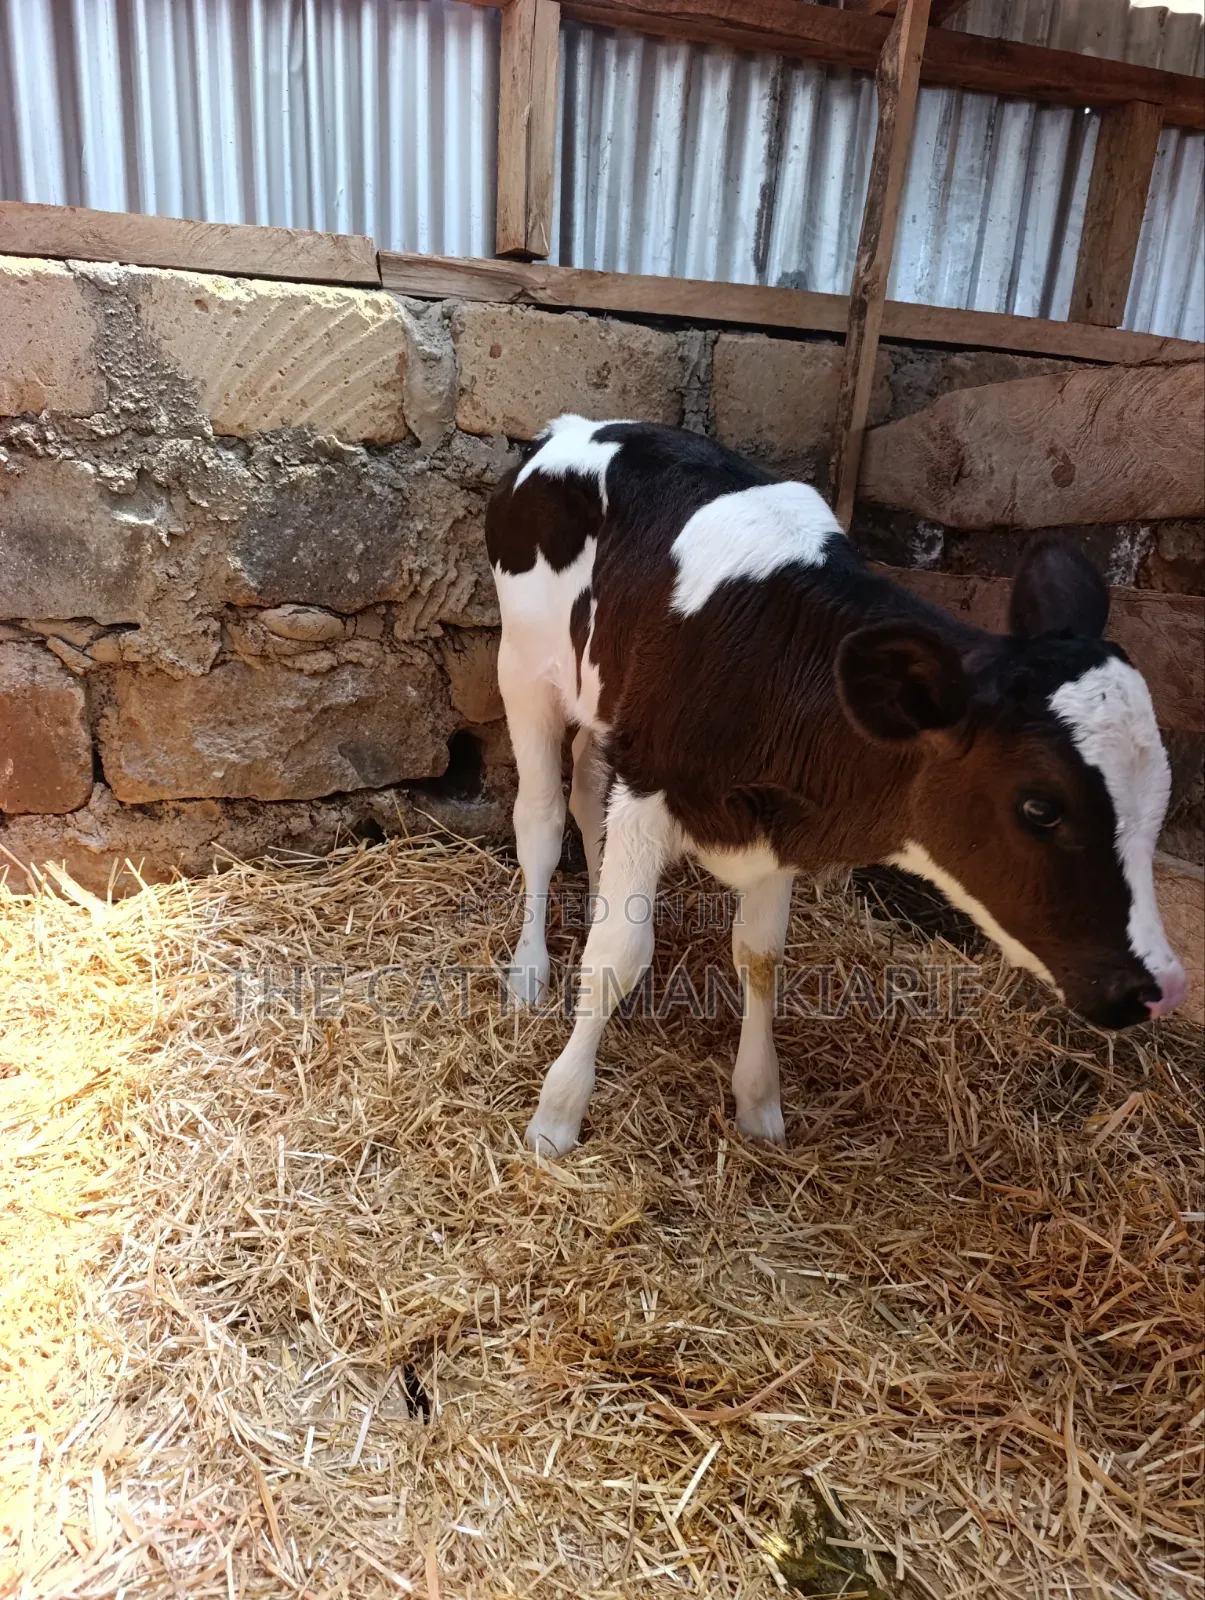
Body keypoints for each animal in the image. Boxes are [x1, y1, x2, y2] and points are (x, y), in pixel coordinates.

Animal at [485, 415, 1187, 1157]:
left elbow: (759, 955)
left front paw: (758, 1101)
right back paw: (528, 971)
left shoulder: (780, 818)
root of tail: (574, 427)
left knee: (589, 792)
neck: (775, 665)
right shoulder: (650, 788)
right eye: (1040, 807)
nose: (1161, 989)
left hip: (601, 697)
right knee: (541, 819)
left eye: (1159, 798)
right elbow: (620, 953)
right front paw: (557, 1115)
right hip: (523, 668)